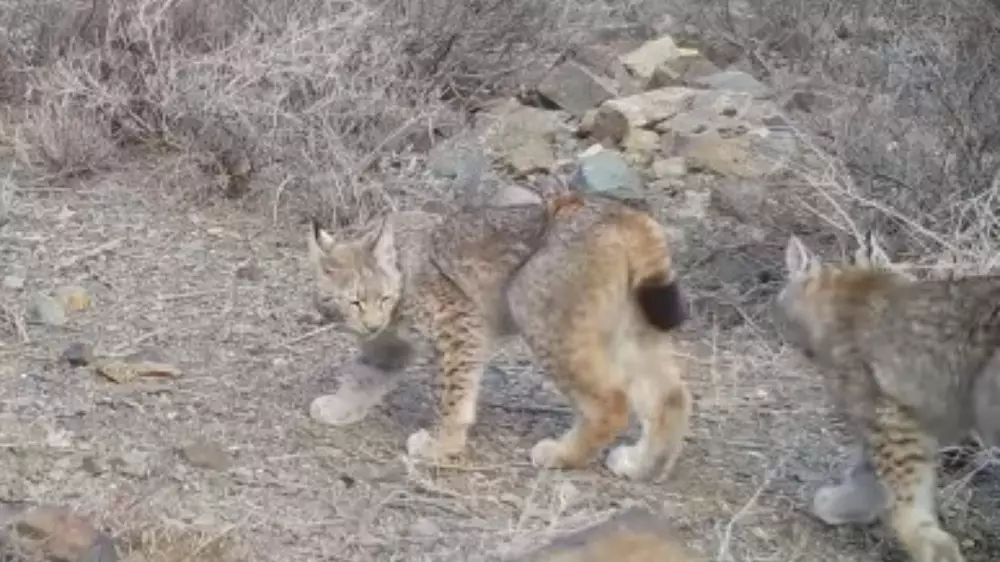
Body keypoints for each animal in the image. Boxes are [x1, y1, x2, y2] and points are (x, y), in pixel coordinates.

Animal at [305, 190, 691, 481]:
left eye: (382, 297)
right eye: (354, 302)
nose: (371, 325)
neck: (400, 269)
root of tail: (620, 211)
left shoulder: (460, 323)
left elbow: (453, 391)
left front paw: (442, 446)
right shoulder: (390, 343)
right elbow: (365, 374)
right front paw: (341, 406)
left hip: (534, 308)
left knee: (611, 400)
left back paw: (561, 454)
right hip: (631, 326)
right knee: (671, 396)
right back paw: (643, 467)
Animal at [773, 230, 1000, 562]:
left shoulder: (885, 414)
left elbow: (901, 483)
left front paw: (928, 543)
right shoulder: (915, 414)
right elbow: (866, 469)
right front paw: (846, 504)